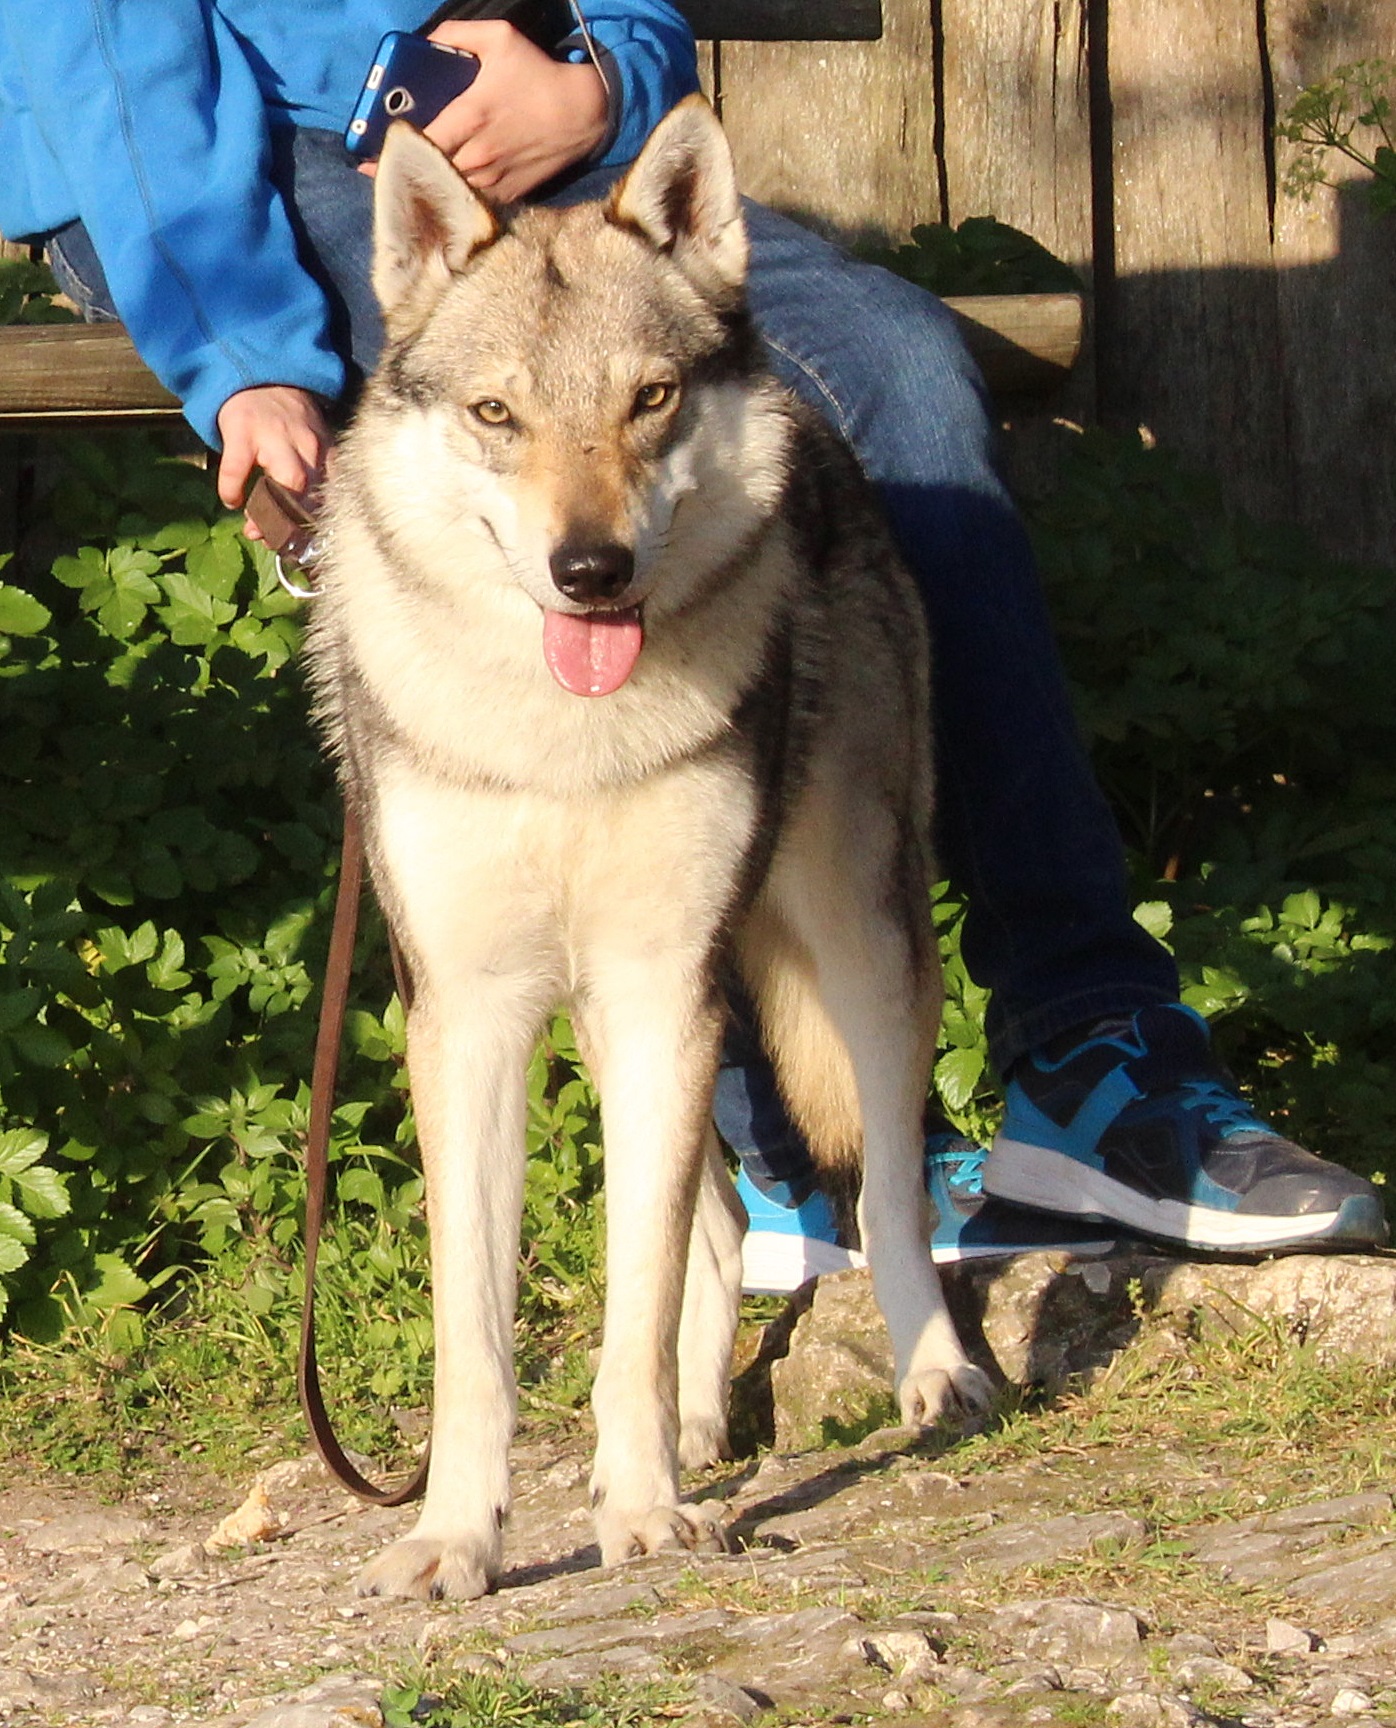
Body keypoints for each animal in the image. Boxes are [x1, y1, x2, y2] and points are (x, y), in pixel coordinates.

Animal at [307, 94, 993, 1602]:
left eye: (650, 400)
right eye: (498, 416)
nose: (592, 571)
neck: (562, 733)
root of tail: (818, 425)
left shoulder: (657, 986)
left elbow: (632, 1300)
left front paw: (641, 1513)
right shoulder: (473, 1018)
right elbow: (480, 1340)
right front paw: (456, 1537)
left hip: (855, 948)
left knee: (885, 1189)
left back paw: (935, 1377)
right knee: (723, 1225)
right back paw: (696, 1423)